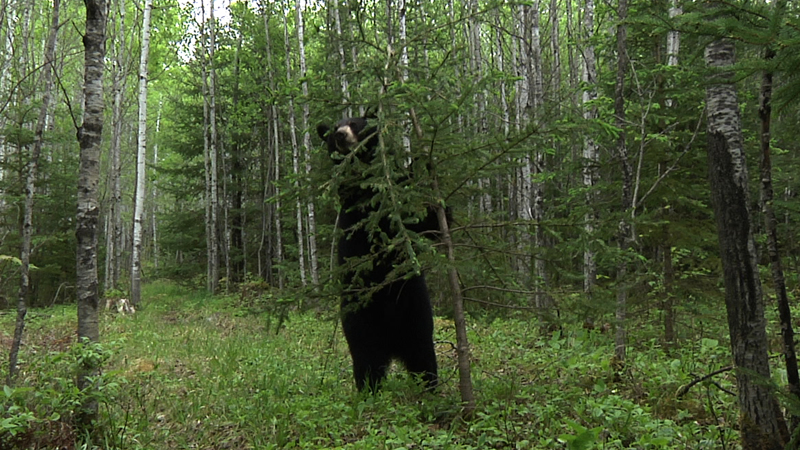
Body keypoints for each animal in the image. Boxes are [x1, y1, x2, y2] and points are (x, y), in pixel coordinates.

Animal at [317, 115, 440, 392]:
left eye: (354, 123)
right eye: (333, 129)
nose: (340, 135)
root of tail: (392, 345)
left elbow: (426, 222)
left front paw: (422, 159)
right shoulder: (357, 211)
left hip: (416, 312)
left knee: (423, 355)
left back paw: (430, 388)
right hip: (360, 321)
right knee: (368, 360)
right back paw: (369, 392)